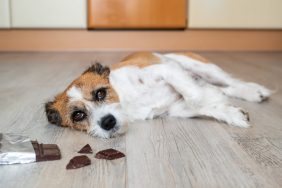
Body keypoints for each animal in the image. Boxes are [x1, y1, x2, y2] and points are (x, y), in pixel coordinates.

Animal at [44, 52, 270, 138]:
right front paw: (231, 114)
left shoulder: (165, 70)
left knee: (231, 82)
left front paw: (212, 101)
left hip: (202, 67)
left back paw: (255, 91)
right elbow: (201, 105)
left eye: (100, 93)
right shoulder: (176, 108)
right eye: (78, 115)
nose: (107, 122)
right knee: (225, 88)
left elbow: (195, 97)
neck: (127, 101)